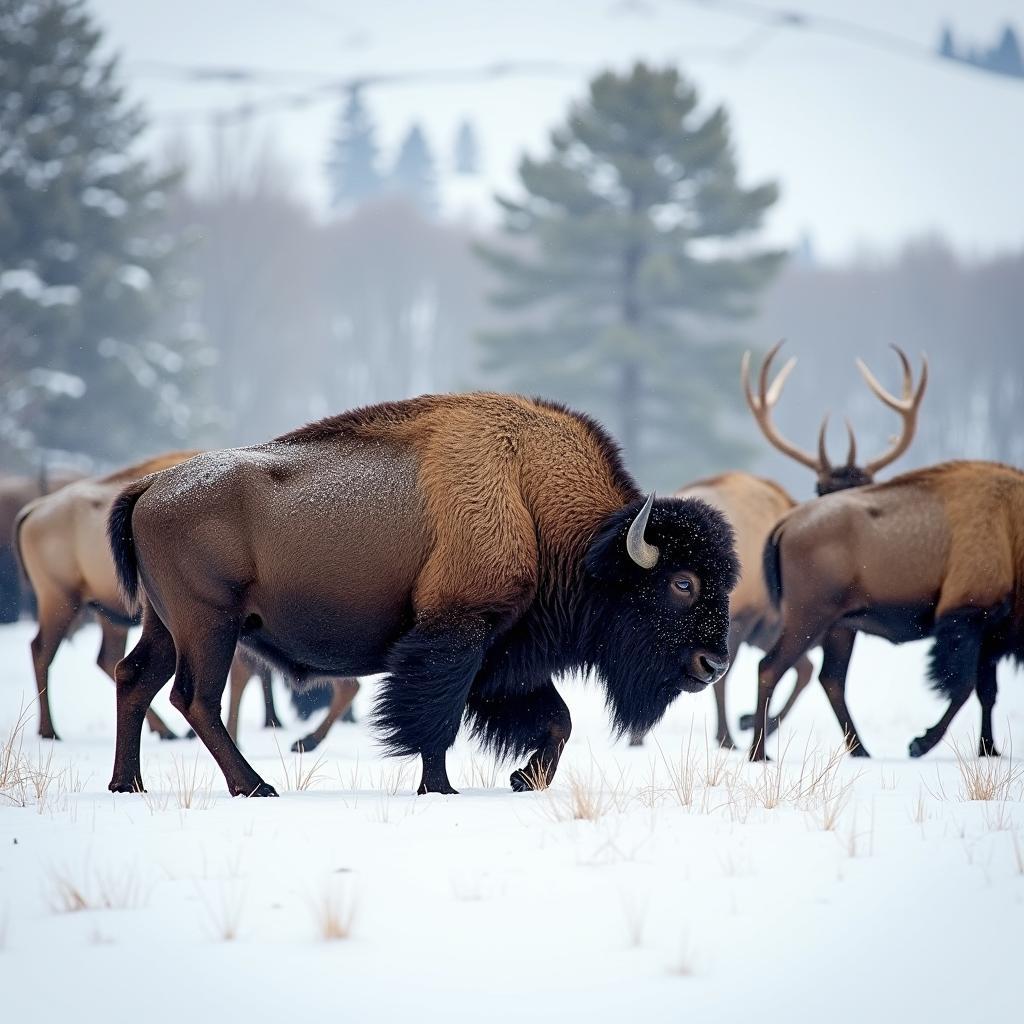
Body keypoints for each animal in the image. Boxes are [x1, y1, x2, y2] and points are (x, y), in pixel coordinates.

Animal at [108, 395, 741, 794]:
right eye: (683, 582)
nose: (714, 663)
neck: (534, 506)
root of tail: (150, 487)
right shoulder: (455, 636)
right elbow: (434, 722)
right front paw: (442, 789)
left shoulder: (504, 657)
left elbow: (555, 720)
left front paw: (522, 779)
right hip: (209, 625)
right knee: (195, 699)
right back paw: (255, 787)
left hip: (165, 625)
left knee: (135, 679)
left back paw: (128, 784)